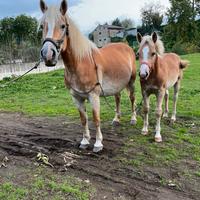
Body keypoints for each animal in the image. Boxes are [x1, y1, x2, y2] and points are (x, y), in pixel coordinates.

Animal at [38, 0, 137, 152]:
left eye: (63, 26)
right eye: (42, 26)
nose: (48, 54)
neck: (81, 64)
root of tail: (126, 46)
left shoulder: (93, 96)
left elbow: (96, 119)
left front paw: (98, 143)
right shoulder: (76, 97)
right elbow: (83, 119)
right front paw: (84, 141)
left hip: (131, 82)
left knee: (132, 98)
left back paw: (133, 119)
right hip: (117, 86)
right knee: (118, 99)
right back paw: (116, 119)